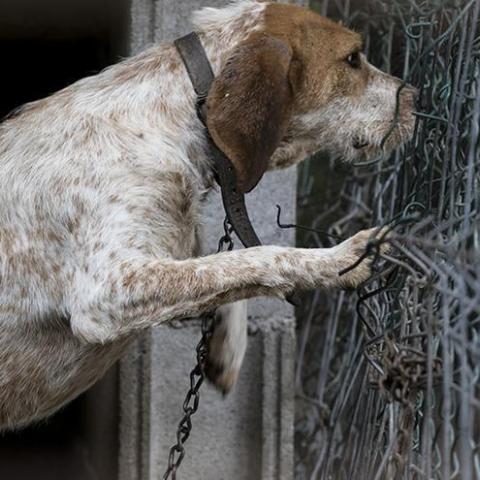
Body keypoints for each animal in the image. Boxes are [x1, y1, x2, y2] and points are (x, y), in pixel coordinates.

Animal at [0, 0, 416, 432]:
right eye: (352, 59)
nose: (416, 98)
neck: (171, 118)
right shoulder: (109, 289)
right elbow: (263, 256)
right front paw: (342, 258)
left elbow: (225, 266)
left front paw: (227, 349)